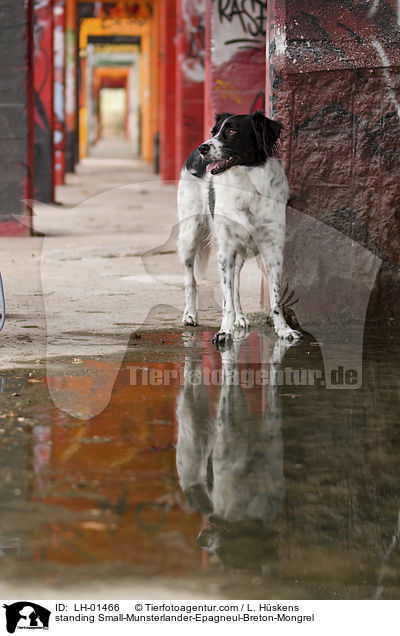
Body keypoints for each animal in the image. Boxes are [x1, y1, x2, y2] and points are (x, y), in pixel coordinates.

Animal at [177, 112, 302, 346]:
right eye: (213, 131)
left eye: (232, 131)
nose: (203, 148)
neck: (246, 183)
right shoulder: (225, 250)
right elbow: (225, 300)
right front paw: (224, 331)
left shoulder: (273, 250)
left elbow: (275, 299)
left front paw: (283, 330)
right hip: (190, 235)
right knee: (190, 278)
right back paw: (190, 315)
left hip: (240, 252)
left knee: (234, 285)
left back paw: (240, 317)